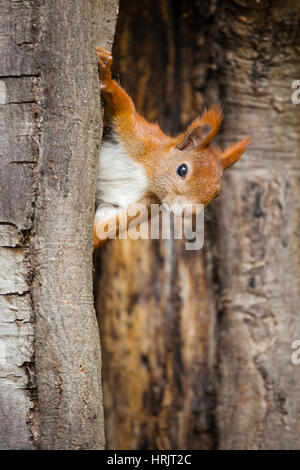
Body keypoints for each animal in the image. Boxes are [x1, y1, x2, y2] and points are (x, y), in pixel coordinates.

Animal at [93, 46, 248, 248]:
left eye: (216, 194)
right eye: (182, 170)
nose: (187, 212)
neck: (147, 175)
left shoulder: (140, 204)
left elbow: (108, 225)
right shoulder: (137, 135)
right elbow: (123, 105)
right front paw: (105, 74)